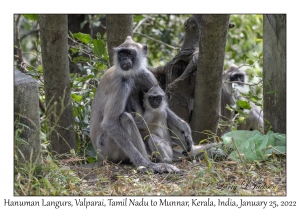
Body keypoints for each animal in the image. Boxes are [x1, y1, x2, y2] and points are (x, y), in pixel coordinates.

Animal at [89, 36, 195, 174]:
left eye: (129, 53)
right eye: (121, 53)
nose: (124, 59)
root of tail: (100, 155)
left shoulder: (145, 74)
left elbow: (163, 106)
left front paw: (185, 127)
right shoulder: (121, 83)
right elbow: (110, 123)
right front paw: (145, 164)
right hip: (109, 148)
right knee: (125, 118)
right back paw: (151, 163)